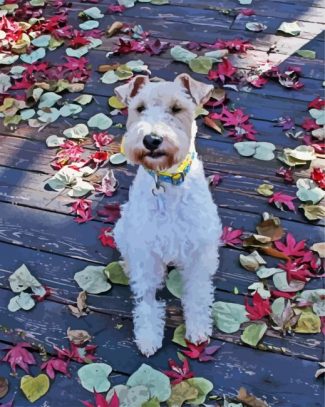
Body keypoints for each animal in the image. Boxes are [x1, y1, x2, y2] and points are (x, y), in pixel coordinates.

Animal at [112, 74, 221, 356]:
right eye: (139, 108)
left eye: (176, 108)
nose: (151, 140)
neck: (167, 181)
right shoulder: (146, 251)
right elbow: (147, 298)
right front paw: (148, 336)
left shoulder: (198, 250)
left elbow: (198, 293)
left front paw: (197, 328)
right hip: (123, 228)